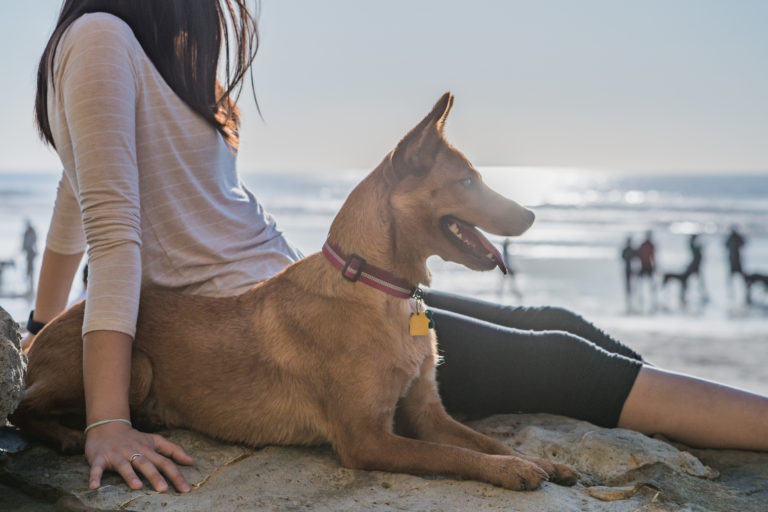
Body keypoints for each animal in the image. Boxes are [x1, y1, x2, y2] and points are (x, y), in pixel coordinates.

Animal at [13, 94, 576, 490]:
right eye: (467, 182)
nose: (532, 214)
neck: (377, 287)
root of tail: (40, 335)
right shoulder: (366, 439)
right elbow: (455, 455)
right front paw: (513, 473)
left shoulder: (426, 414)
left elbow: (484, 441)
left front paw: (536, 460)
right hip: (134, 366)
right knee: (22, 407)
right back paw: (68, 434)